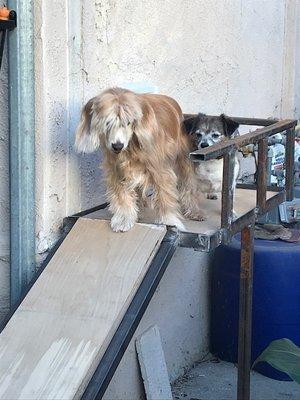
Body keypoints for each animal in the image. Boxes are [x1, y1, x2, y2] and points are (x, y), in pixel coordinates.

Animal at [75, 87, 203, 231]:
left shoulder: (160, 170)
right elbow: (122, 197)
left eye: (128, 122)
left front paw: (169, 220)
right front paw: (124, 219)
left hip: (183, 159)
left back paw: (194, 211)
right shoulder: (117, 171)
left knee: (189, 184)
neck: (130, 148)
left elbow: (164, 195)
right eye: (108, 122)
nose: (117, 146)